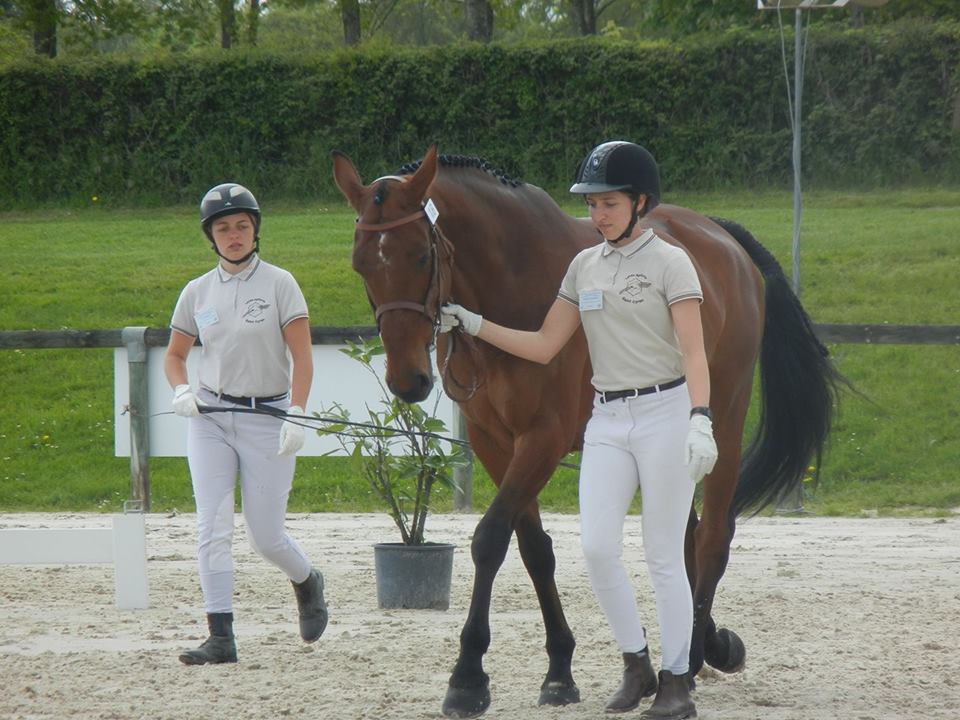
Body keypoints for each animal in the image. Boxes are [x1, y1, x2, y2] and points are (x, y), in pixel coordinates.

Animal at [332, 143, 840, 716]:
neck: (512, 282)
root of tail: (723, 239)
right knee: (682, 539)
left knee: (712, 536)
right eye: (360, 264)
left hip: (722, 427)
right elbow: (533, 548)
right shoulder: (495, 442)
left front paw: (467, 678)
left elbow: (490, 539)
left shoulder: (543, 438)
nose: (409, 382)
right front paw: (558, 670)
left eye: (421, 255)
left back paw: (695, 656)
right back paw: (702, 643)